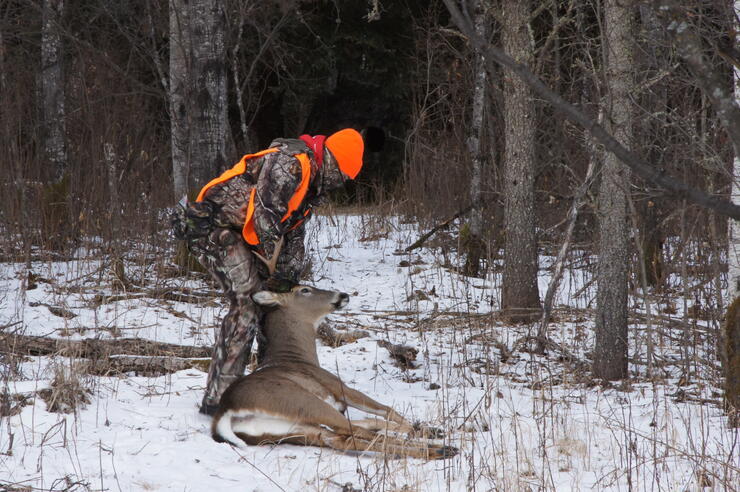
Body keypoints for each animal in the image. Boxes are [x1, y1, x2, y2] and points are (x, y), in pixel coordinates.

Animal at [208, 236, 460, 460]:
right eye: (305, 290)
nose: (343, 294)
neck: (299, 356)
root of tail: (224, 414)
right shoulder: (339, 387)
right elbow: (384, 411)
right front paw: (423, 429)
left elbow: (374, 421)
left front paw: (428, 429)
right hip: (303, 401)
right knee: (357, 432)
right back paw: (441, 448)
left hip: (292, 428)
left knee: (344, 438)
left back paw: (440, 449)